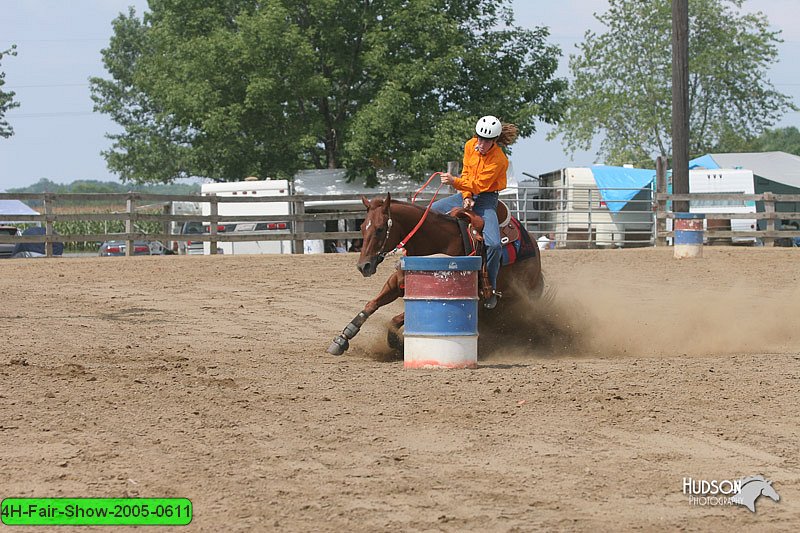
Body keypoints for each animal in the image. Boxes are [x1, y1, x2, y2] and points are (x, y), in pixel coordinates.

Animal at [326, 193, 544, 356]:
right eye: (363, 227)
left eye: (380, 229)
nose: (364, 266)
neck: (437, 241)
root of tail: (532, 245)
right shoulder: (396, 283)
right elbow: (370, 306)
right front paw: (342, 339)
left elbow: (395, 320)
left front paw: (396, 343)